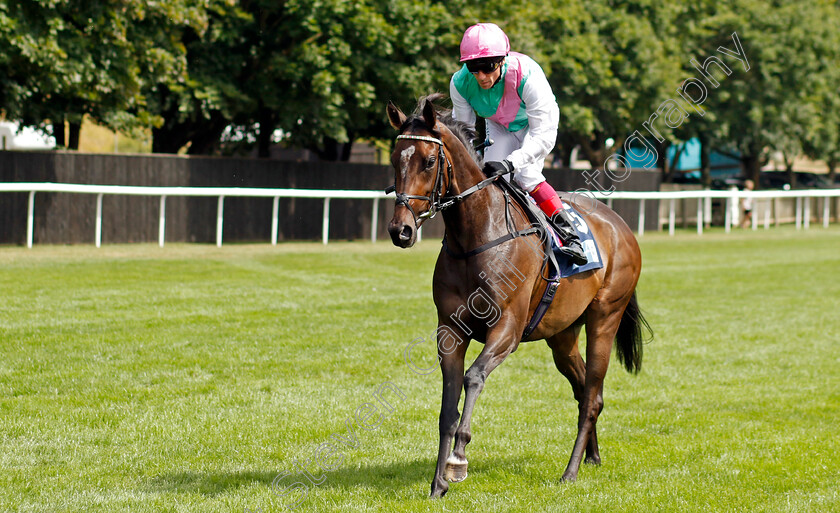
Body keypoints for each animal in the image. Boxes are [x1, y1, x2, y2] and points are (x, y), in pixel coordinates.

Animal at [386, 95, 648, 496]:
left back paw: (570, 471)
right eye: (394, 157)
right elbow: (447, 408)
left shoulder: (507, 329)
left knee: (591, 396)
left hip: (605, 318)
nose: (400, 230)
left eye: (429, 161)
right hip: (562, 335)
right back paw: (592, 457)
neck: (476, 237)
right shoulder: (450, 331)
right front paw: (437, 483)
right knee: (585, 389)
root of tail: (620, 225)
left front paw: (458, 461)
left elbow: (473, 377)